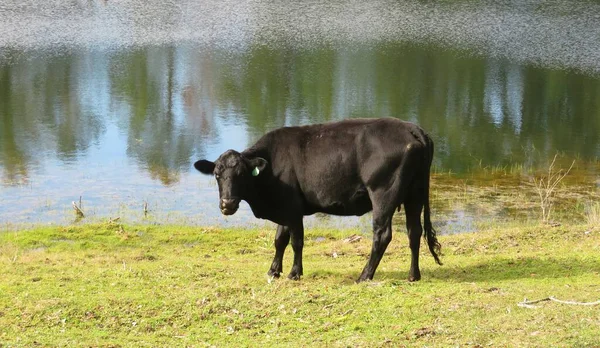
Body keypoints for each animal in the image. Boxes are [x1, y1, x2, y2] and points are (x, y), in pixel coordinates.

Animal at [196, 117, 440, 282]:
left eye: (242, 174)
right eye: (216, 174)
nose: (227, 204)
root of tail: (412, 128)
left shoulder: (293, 208)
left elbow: (296, 241)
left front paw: (294, 273)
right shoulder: (284, 207)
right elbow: (279, 239)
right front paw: (273, 271)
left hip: (383, 193)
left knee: (382, 235)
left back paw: (364, 275)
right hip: (415, 193)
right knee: (414, 232)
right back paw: (413, 275)